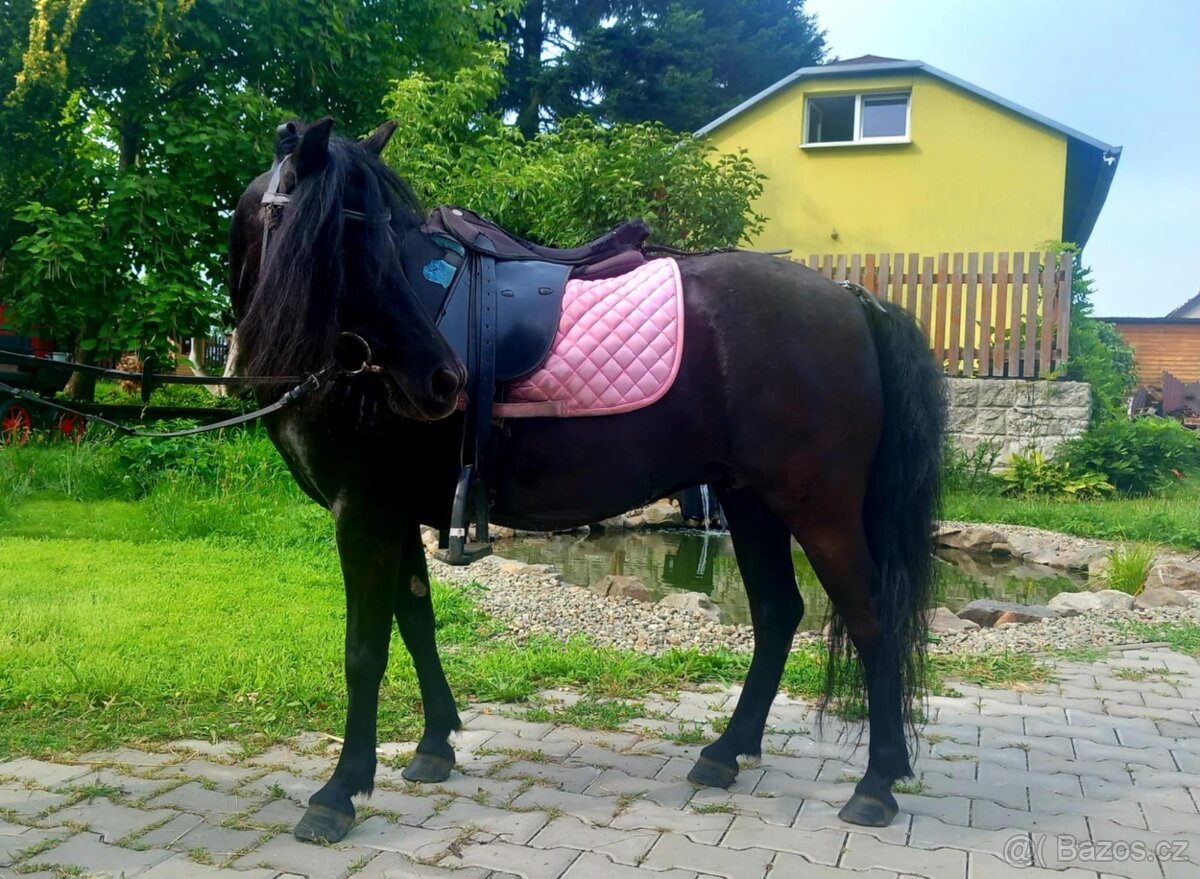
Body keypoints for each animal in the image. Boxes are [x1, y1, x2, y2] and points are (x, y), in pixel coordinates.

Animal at [228, 117, 946, 844]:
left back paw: (876, 783)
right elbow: (417, 622)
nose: (442, 377)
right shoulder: (395, 514)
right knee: (778, 614)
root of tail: (853, 301)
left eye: (379, 239)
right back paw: (726, 753)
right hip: (751, 502)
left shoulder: (365, 511)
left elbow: (365, 650)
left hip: (818, 507)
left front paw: (339, 791)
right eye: (346, 240)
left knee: (871, 618)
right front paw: (434, 747)